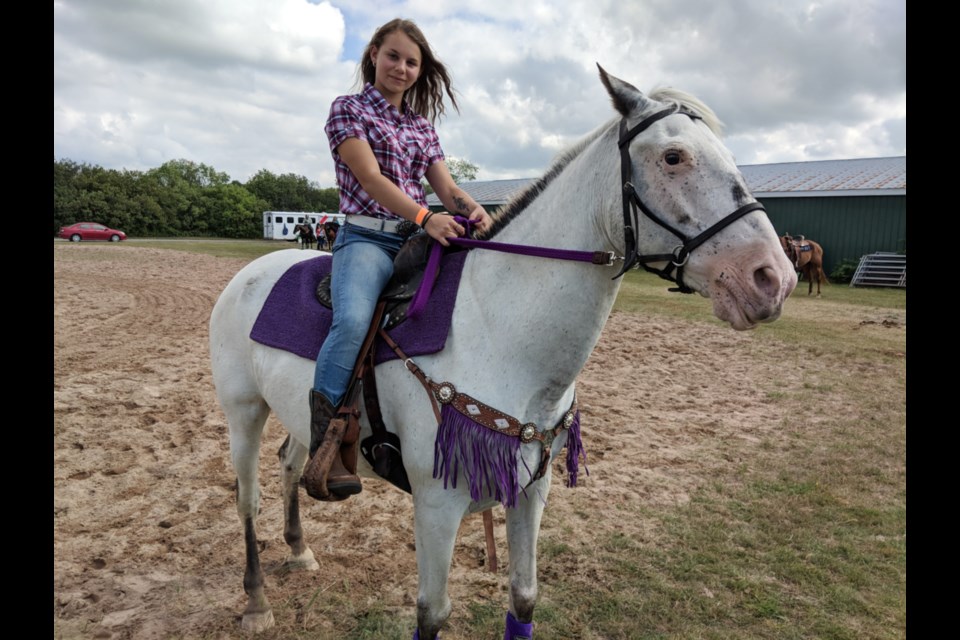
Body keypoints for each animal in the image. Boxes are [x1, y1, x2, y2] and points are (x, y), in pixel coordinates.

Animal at [212, 66, 804, 640]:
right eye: (674, 156)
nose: (772, 278)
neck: (501, 333)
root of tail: (252, 272)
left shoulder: (531, 492)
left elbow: (523, 598)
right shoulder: (436, 505)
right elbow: (432, 615)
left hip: (299, 418)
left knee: (292, 465)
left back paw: (299, 550)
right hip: (243, 413)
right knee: (247, 498)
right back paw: (256, 602)